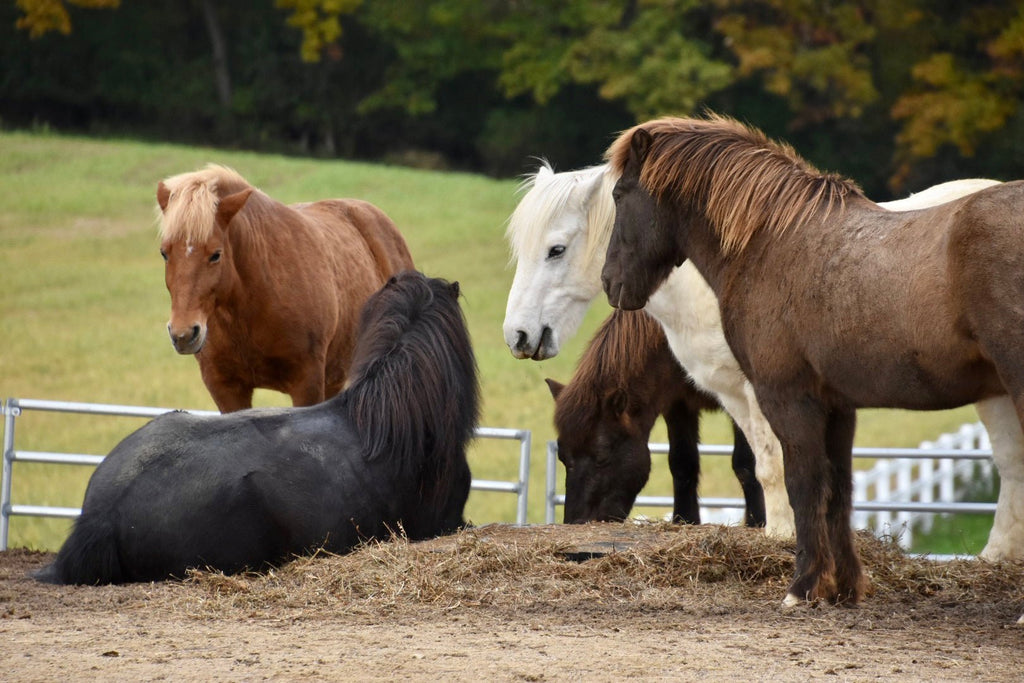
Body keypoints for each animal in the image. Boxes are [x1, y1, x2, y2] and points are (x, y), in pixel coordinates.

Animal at [544, 307, 761, 528]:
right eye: (562, 457)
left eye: (602, 456)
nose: (577, 521)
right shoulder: (677, 404)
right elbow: (683, 463)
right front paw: (684, 520)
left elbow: (745, 464)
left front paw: (757, 522)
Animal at [598, 113, 1024, 610]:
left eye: (620, 194)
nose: (610, 282)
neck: (771, 243)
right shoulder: (837, 405)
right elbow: (838, 490)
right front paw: (844, 587)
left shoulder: (786, 398)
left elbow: (802, 485)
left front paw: (802, 587)